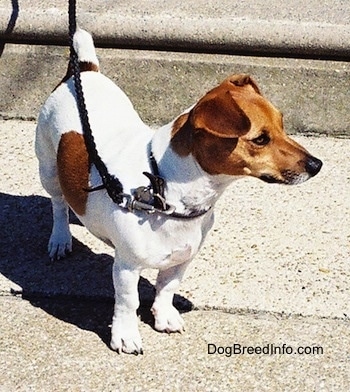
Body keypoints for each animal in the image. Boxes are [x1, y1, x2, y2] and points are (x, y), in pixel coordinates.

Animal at [35, 29, 322, 356]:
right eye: (260, 139)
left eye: (283, 126)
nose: (317, 164)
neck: (164, 188)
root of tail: (82, 71)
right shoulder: (126, 266)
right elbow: (128, 302)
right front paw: (125, 336)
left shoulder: (183, 258)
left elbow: (167, 288)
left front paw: (164, 317)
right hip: (48, 169)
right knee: (59, 204)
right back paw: (60, 238)